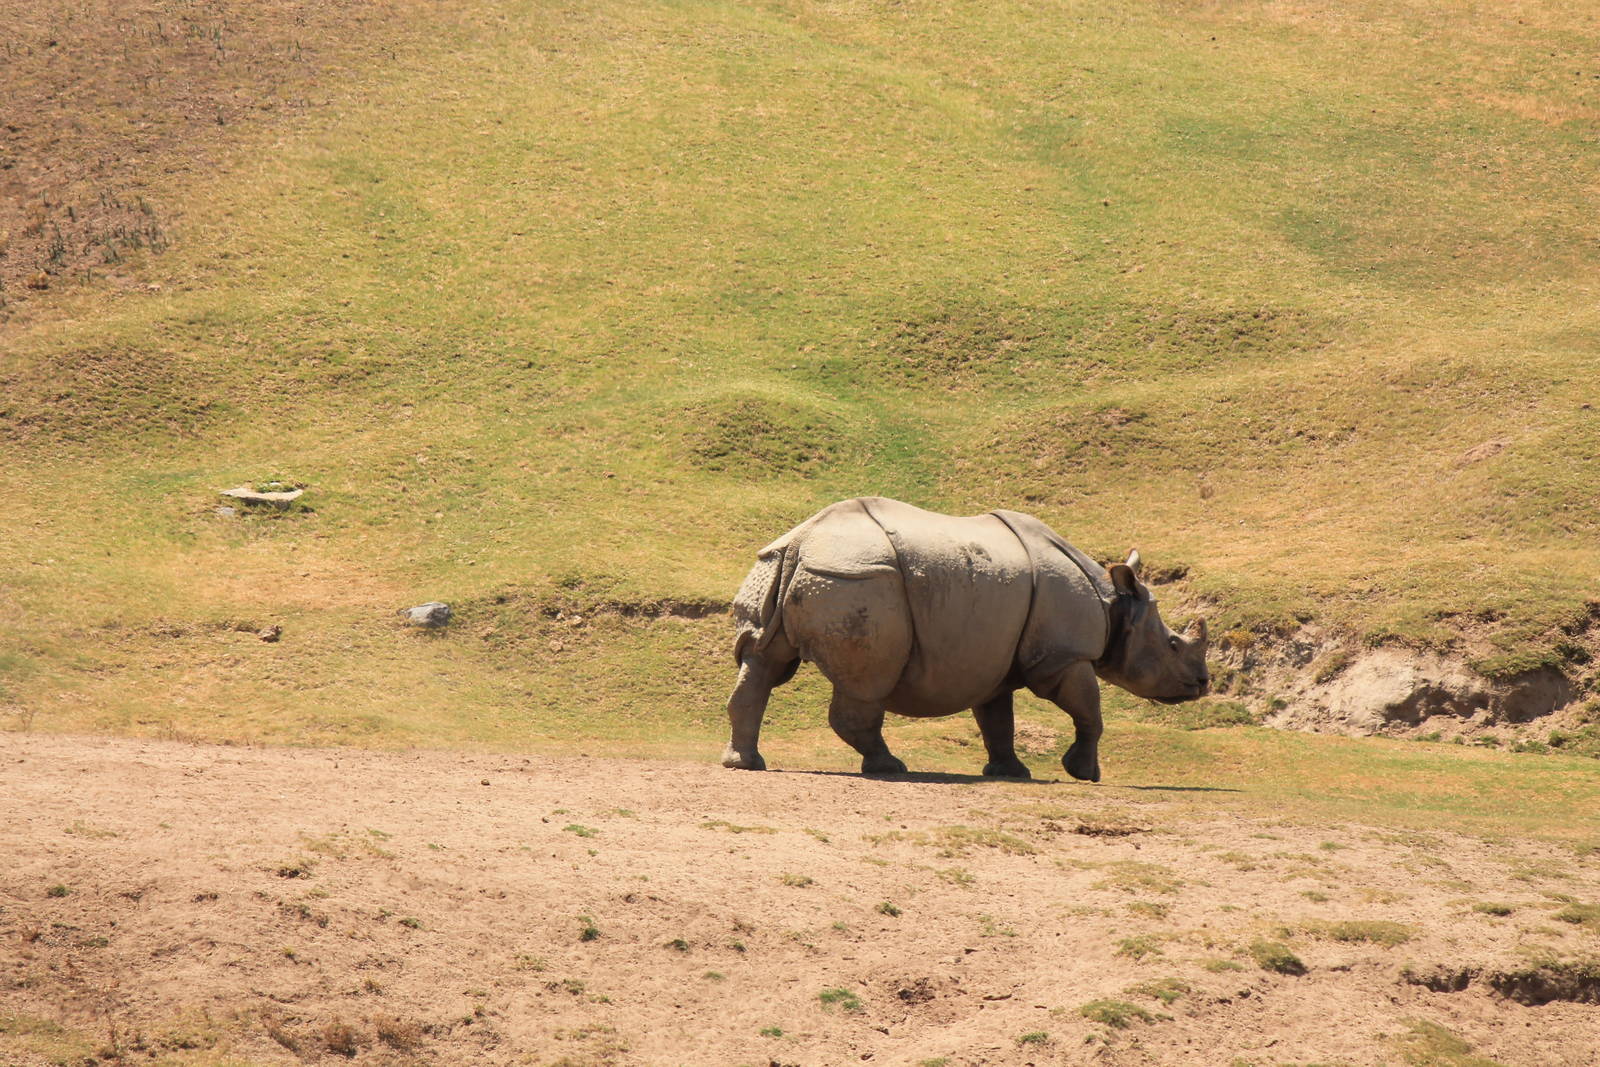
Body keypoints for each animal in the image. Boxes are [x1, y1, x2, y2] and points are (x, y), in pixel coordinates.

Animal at [722, 497, 1209, 781]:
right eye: (1172, 645)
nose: (1202, 684)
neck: (1113, 603)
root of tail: (802, 542)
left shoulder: (994, 659)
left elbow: (997, 719)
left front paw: (1010, 773)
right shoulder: (1064, 656)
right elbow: (1089, 710)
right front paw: (1085, 774)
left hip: (777, 567)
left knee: (762, 663)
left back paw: (744, 764)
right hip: (859, 580)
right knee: (867, 683)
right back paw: (891, 769)